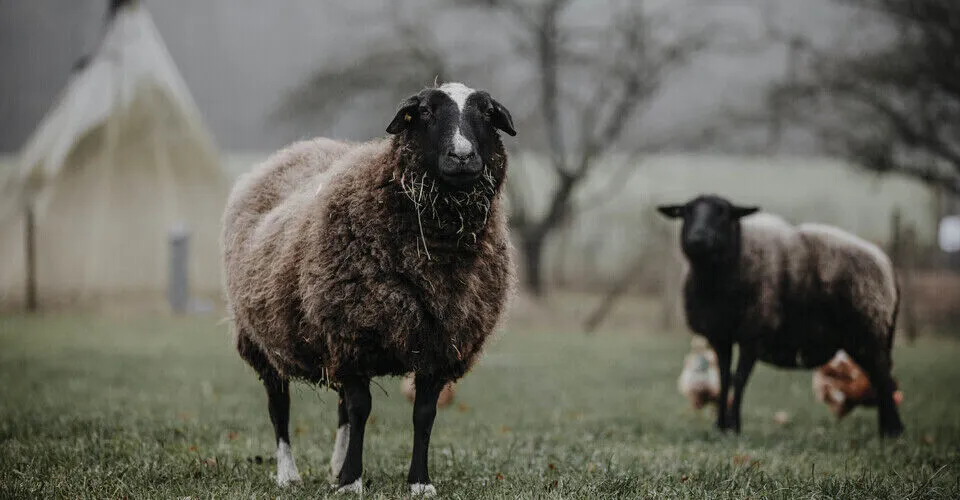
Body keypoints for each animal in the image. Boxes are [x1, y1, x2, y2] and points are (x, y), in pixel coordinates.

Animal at [222, 82, 516, 496]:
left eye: (487, 113)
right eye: (425, 112)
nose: (462, 156)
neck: (435, 256)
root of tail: (300, 147)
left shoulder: (438, 345)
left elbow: (423, 414)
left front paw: (418, 483)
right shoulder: (351, 333)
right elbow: (361, 410)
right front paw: (351, 482)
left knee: (340, 407)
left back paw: (333, 466)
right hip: (264, 339)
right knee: (279, 406)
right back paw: (288, 474)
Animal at [656, 195, 904, 438]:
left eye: (723, 213)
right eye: (686, 212)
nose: (697, 239)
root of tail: (886, 264)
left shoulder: (754, 331)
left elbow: (739, 378)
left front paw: (733, 427)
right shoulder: (720, 335)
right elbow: (724, 378)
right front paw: (720, 426)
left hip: (870, 329)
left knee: (883, 379)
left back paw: (892, 432)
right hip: (865, 338)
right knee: (880, 378)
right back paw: (888, 429)